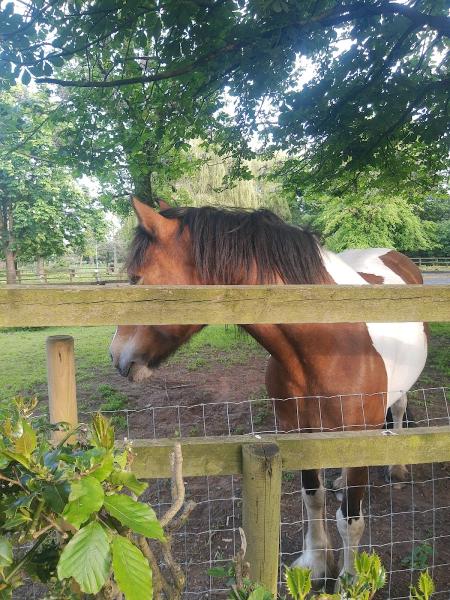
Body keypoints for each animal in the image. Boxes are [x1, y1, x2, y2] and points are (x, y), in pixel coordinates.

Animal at [110, 199, 428, 584]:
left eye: (136, 278)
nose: (115, 354)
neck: (332, 343)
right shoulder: (299, 431)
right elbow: (313, 497)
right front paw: (317, 563)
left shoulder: (357, 434)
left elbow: (350, 520)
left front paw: (350, 579)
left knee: (398, 410)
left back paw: (397, 468)